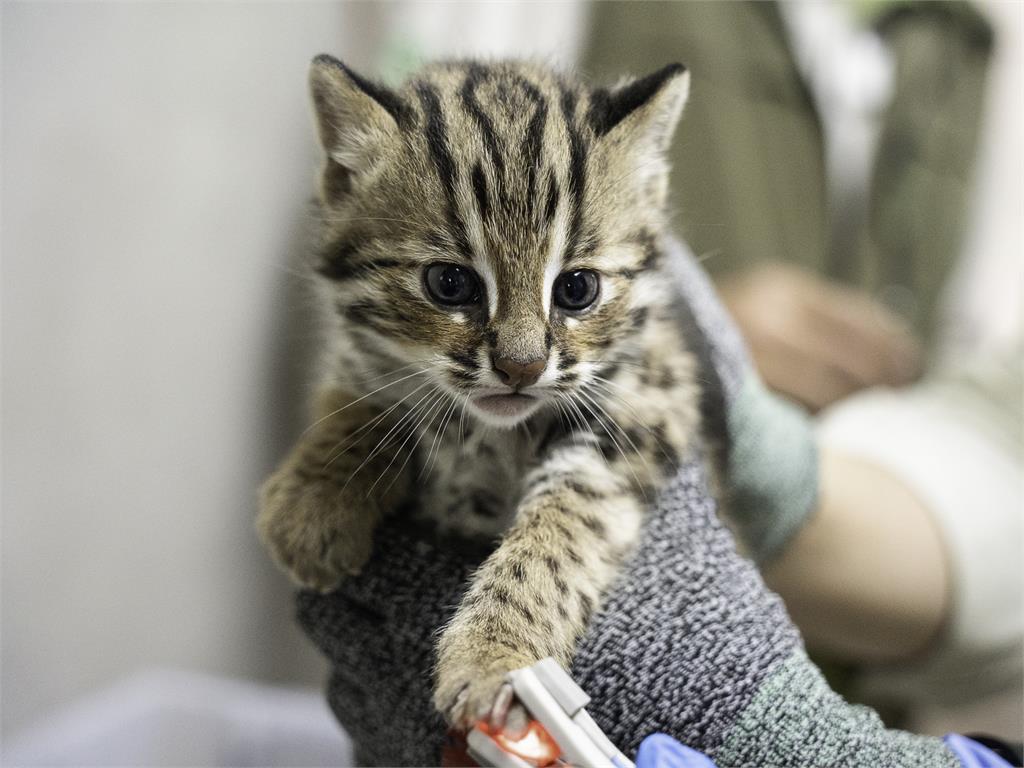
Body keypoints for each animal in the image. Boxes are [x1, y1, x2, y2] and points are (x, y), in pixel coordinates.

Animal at [258, 57, 704, 729]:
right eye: (449, 283)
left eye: (577, 289)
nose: (522, 368)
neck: (487, 432)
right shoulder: (359, 360)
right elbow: (359, 400)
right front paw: (313, 505)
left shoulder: (648, 407)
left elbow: (565, 525)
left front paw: (498, 654)